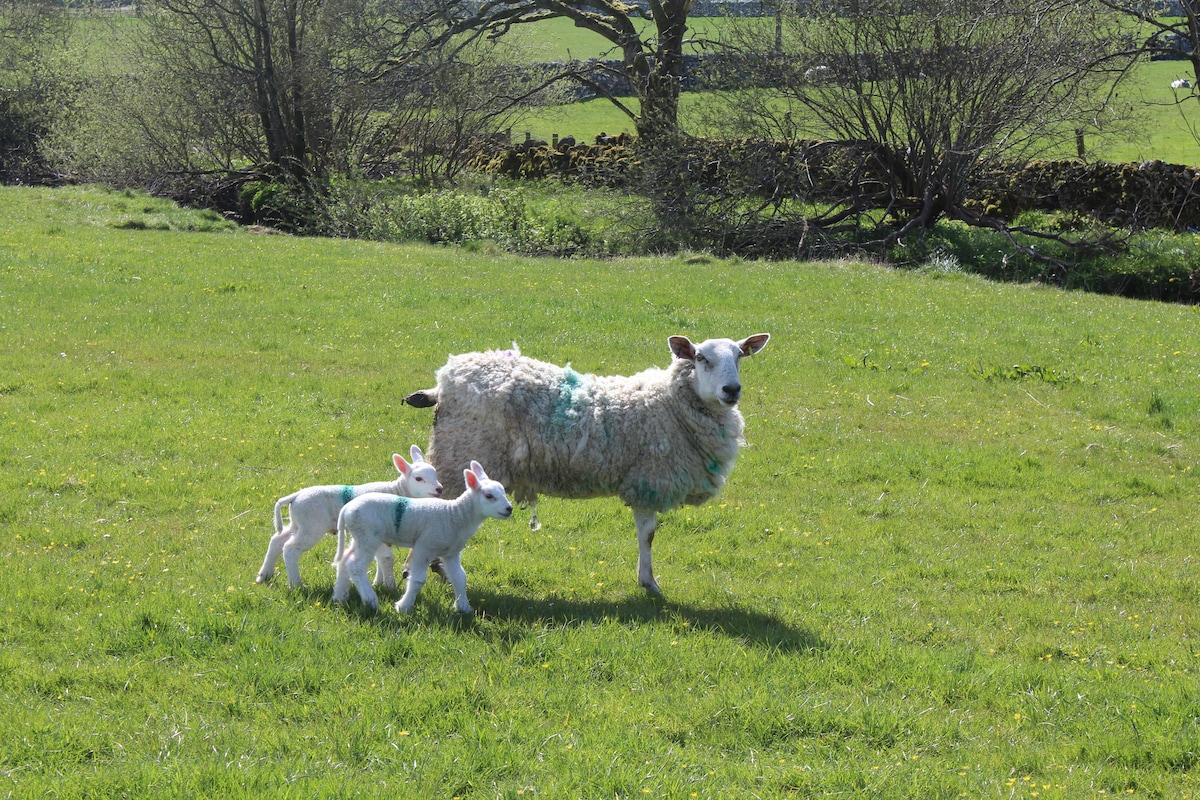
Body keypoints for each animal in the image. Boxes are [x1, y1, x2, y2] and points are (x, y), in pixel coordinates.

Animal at [255, 448, 444, 592]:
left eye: (435, 474)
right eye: (419, 478)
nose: (439, 489)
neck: (397, 491)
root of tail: (295, 496)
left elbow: (380, 559)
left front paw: (379, 583)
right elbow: (387, 558)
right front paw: (390, 588)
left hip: (299, 522)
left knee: (277, 540)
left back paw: (264, 575)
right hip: (312, 525)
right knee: (290, 548)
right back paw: (296, 584)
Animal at [331, 462, 513, 614]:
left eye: (504, 492)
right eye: (489, 496)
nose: (509, 509)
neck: (454, 515)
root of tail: (347, 509)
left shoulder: (451, 552)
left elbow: (459, 577)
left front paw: (464, 608)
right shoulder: (425, 547)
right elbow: (417, 579)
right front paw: (403, 607)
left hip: (359, 536)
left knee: (345, 560)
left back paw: (339, 597)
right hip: (368, 536)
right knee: (356, 566)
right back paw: (371, 601)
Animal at [403, 331, 768, 594]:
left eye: (739, 356)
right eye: (701, 358)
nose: (731, 389)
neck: (666, 403)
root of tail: (445, 381)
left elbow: (647, 535)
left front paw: (647, 581)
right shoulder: (648, 481)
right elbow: (648, 535)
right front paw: (649, 583)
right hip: (458, 456)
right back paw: (423, 569)